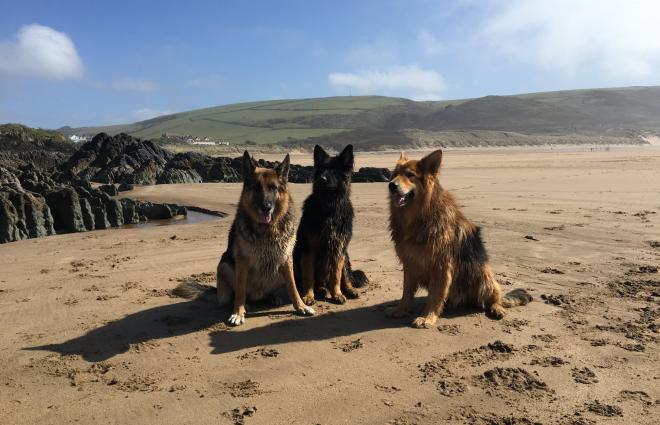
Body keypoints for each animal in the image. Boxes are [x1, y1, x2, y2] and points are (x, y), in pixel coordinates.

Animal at [173, 150, 312, 324]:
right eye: (257, 188)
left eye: (273, 188)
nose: (266, 207)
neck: (267, 229)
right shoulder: (242, 262)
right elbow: (239, 291)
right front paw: (238, 313)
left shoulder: (286, 260)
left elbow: (293, 287)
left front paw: (301, 306)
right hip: (224, 266)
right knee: (236, 295)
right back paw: (245, 305)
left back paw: (272, 298)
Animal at [292, 146, 366, 304]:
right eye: (322, 170)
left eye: (335, 170)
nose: (322, 179)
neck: (330, 206)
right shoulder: (309, 250)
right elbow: (308, 277)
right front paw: (308, 296)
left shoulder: (338, 249)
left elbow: (336, 276)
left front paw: (337, 294)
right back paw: (321, 290)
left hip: (345, 256)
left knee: (346, 277)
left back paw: (349, 290)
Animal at [386, 150, 532, 328]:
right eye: (394, 174)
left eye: (410, 175)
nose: (391, 185)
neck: (418, 217)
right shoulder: (410, 263)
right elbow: (406, 292)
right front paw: (401, 310)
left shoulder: (441, 267)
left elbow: (435, 296)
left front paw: (428, 317)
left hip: (483, 276)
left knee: (494, 299)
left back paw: (497, 308)